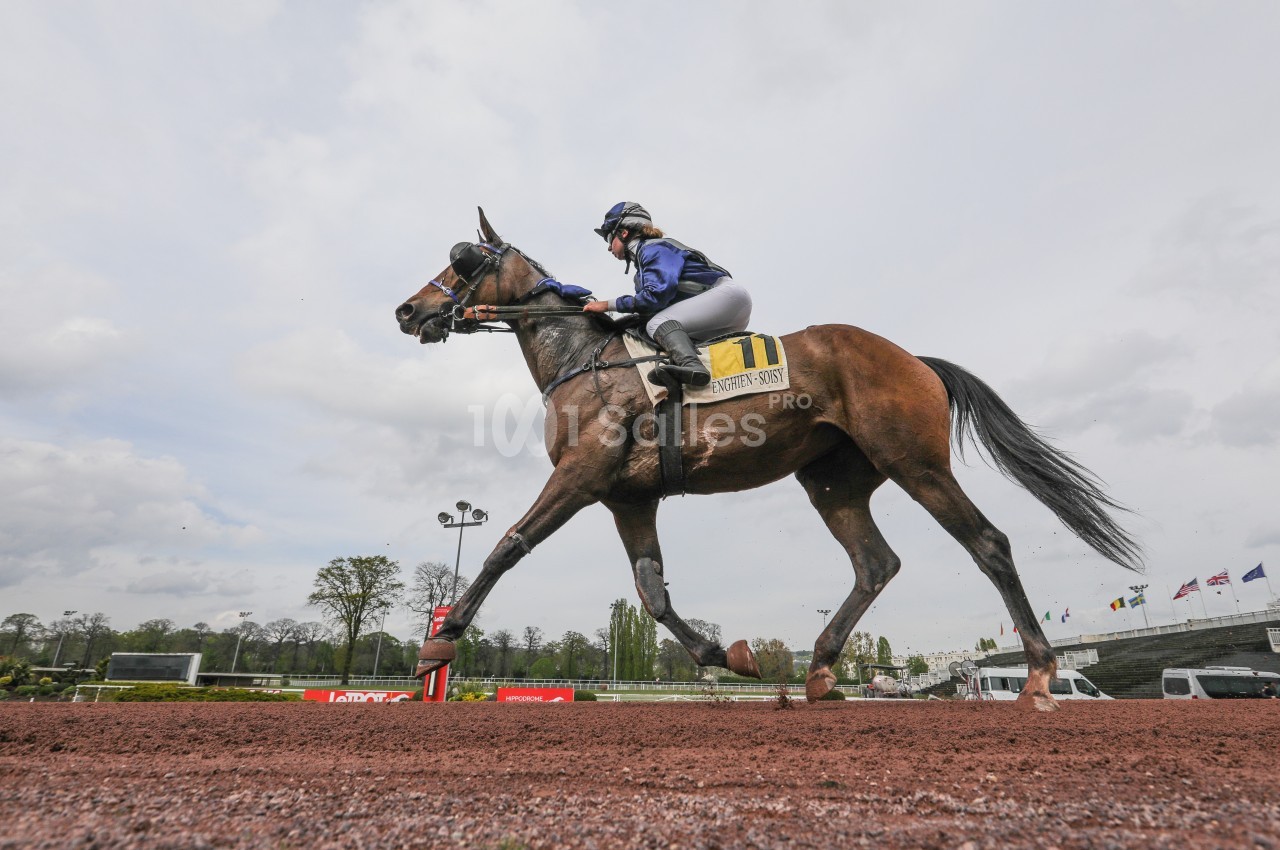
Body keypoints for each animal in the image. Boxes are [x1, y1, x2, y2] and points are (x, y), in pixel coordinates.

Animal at [394, 209, 1141, 710]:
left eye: (462, 258)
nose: (408, 310)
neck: (584, 358)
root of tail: (914, 359)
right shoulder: (628, 496)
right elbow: (653, 592)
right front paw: (726, 655)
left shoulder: (580, 475)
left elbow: (507, 544)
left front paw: (441, 641)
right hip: (833, 482)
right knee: (875, 564)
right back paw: (819, 671)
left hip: (915, 462)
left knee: (987, 542)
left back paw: (1039, 674)